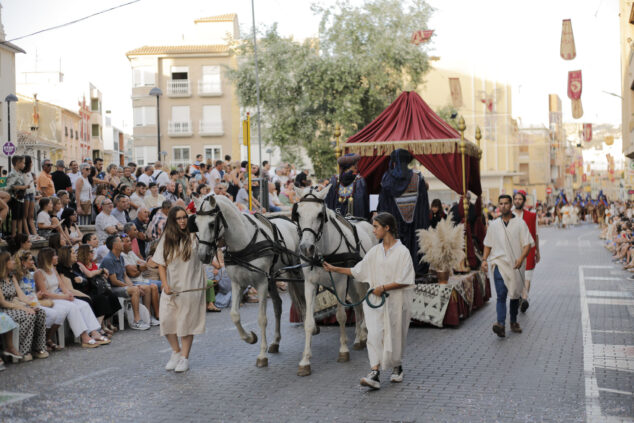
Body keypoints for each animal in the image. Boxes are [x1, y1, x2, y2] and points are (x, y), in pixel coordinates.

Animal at [194, 195, 302, 368]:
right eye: (196, 224)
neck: (243, 243)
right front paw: (250, 338)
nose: (203, 256)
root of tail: (292, 223)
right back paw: (276, 342)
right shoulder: (237, 284)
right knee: (278, 306)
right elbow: (234, 315)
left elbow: (262, 319)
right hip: (272, 277)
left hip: (295, 272)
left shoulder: (262, 283)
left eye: (211, 224)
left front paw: (262, 355)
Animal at [290, 186, 376, 378]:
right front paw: (305, 361)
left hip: (361, 280)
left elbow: (341, 315)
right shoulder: (310, 284)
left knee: (363, 303)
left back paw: (364, 332)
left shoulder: (340, 283)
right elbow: (309, 322)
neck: (323, 253)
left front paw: (343, 351)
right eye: (297, 214)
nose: (306, 248)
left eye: (320, 215)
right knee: (357, 306)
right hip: (352, 282)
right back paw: (359, 338)